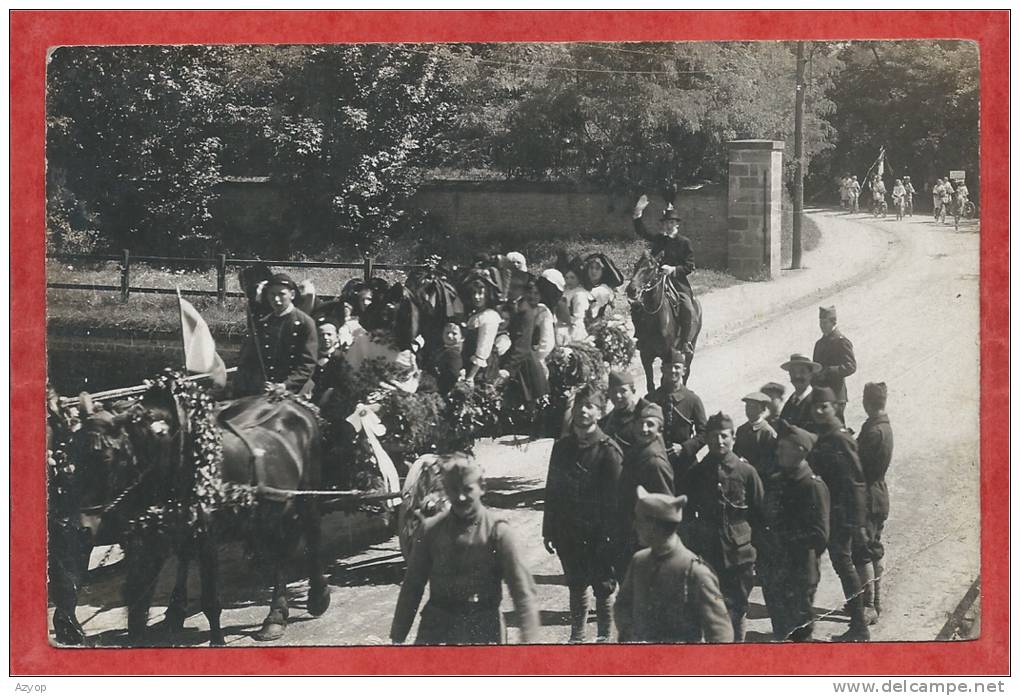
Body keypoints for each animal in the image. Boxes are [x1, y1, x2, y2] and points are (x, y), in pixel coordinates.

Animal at [49, 373, 328, 644]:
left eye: (106, 456)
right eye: (72, 454)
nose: (80, 526)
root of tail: (292, 402)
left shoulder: (207, 536)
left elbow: (210, 601)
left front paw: (216, 641)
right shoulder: (163, 531)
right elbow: (143, 591)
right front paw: (167, 616)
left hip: (309, 491)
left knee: (312, 535)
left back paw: (316, 598)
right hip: (271, 509)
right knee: (279, 552)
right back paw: (274, 616)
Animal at [624, 249, 705, 393]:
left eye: (651, 268)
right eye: (635, 265)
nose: (631, 289)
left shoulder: (666, 356)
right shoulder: (645, 356)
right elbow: (650, 385)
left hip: (692, 345)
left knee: (686, 371)